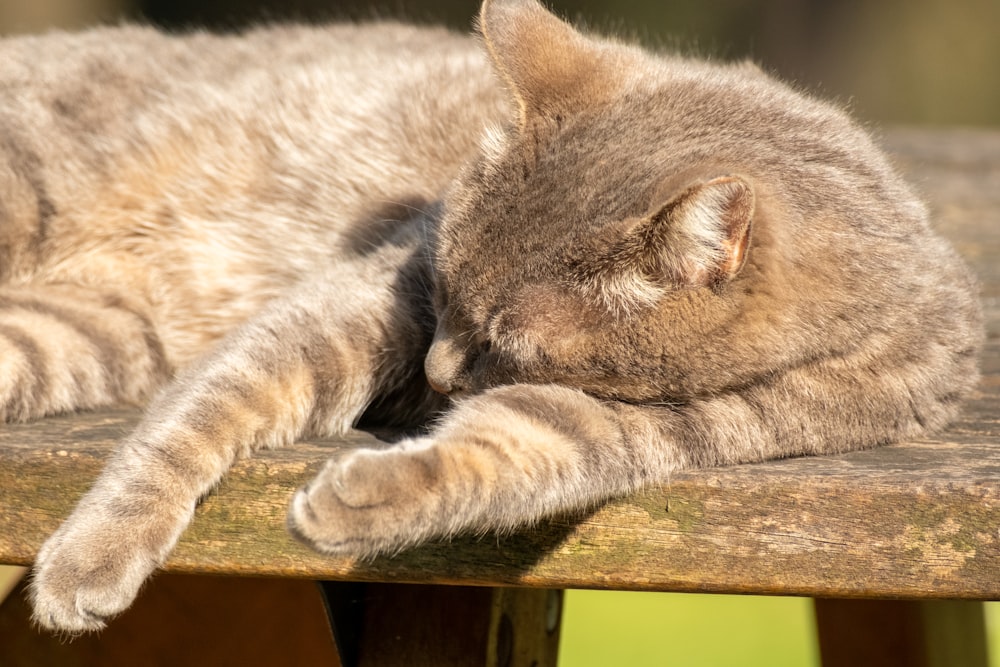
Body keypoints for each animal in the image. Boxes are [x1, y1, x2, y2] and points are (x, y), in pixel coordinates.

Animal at [13, 0, 976, 636]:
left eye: (509, 343)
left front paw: (359, 498)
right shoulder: (368, 294)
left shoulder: (663, 424)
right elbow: (207, 411)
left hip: (93, 330)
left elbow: (502, 453)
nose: (434, 374)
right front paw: (94, 549)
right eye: (444, 289)